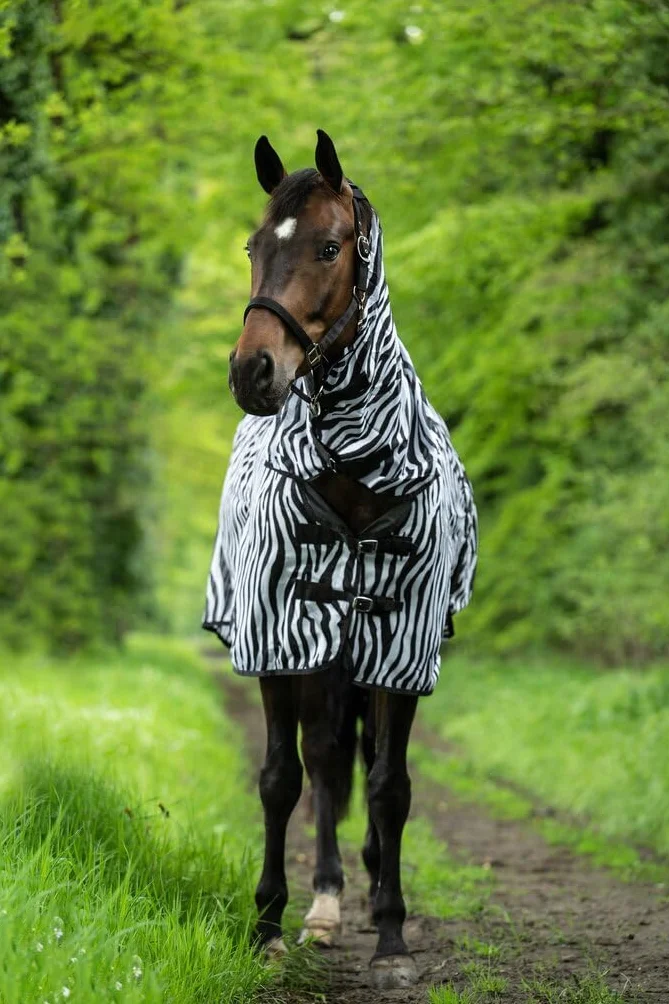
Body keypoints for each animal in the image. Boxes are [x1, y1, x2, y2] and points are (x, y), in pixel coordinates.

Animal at [203, 129, 478, 989]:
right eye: (254, 246)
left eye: (329, 247)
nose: (251, 372)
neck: (356, 471)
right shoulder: (277, 638)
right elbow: (281, 779)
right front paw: (267, 924)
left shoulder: (401, 647)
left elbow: (390, 787)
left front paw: (391, 936)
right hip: (318, 649)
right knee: (323, 762)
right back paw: (322, 904)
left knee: (352, 762)